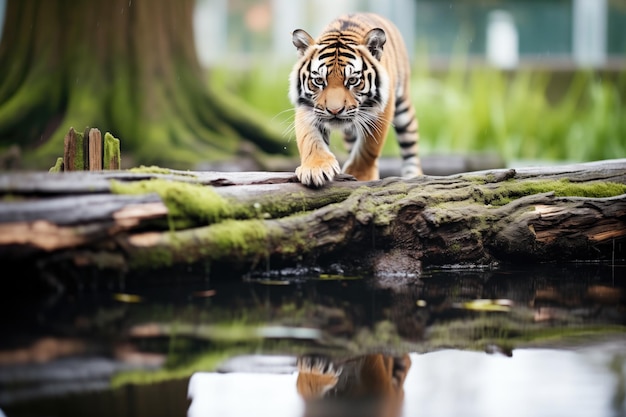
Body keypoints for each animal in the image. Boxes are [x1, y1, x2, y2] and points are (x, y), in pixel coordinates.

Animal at [288, 12, 420, 188]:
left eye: (352, 80)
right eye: (319, 81)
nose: (334, 110)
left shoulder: (382, 108)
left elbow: (369, 148)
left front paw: (360, 176)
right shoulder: (308, 107)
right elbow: (309, 138)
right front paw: (316, 168)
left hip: (403, 110)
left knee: (410, 149)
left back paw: (415, 176)